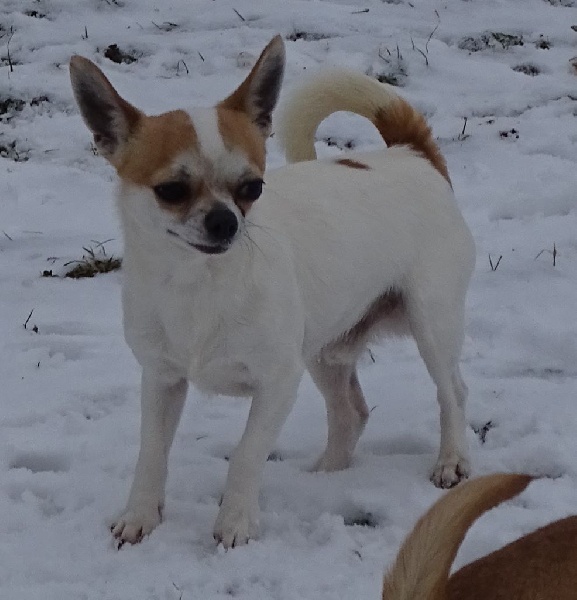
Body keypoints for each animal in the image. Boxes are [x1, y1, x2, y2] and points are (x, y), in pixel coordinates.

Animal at [69, 35, 475, 548]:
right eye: (171, 190)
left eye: (252, 187)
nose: (225, 220)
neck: (199, 284)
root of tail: (412, 154)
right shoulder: (161, 380)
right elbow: (152, 452)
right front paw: (140, 515)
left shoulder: (278, 384)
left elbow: (246, 454)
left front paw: (235, 523)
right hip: (325, 349)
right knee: (351, 413)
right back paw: (326, 475)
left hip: (431, 323)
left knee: (452, 391)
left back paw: (451, 460)